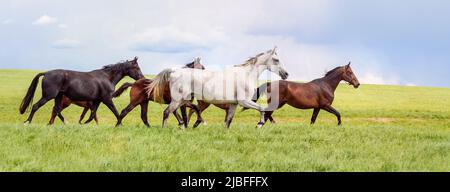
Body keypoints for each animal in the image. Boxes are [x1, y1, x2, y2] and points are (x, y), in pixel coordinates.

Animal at [146, 46, 290, 128]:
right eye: (276, 60)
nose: (286, 74)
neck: (246, 75)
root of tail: (174, 71)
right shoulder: (244, 101)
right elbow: (262, 109)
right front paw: (260, 124)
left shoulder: (234, 104)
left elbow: (228, 121)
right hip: (178, 99)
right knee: (167, 112)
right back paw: (167, 129)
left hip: (182, 99)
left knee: (178, 111)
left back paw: (183, 126)